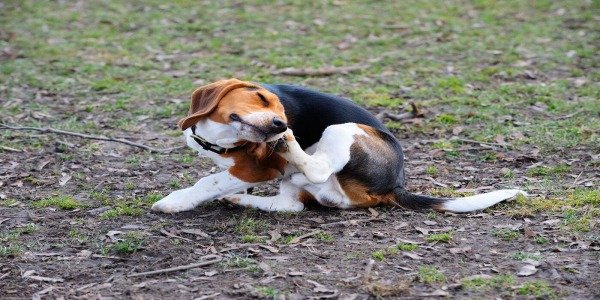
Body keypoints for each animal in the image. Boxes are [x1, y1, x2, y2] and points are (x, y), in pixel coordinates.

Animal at [151, 77, 524, 213]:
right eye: (260, 98)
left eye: (281, 111)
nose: (280, 124)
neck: (218, 138)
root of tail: (394, 185)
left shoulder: (254, 168)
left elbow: (209, 181)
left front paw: (175, 201)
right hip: (297, 185)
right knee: (292, 206)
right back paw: (241, 199)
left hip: (342, 130)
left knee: (317, 169)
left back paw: (289, 147)